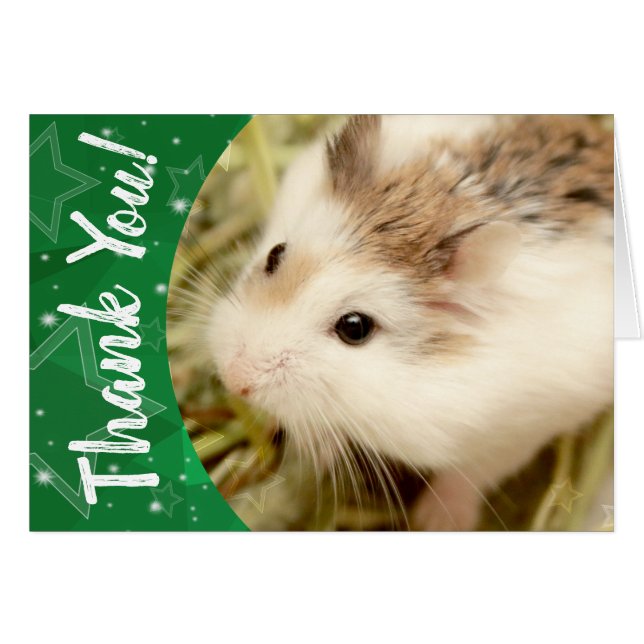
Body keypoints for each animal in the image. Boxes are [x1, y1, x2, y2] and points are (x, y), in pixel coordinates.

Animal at [208, 115, 614, 530]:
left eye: (355, 328)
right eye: (275, 255)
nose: (234, 379)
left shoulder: (518, 431)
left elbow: (470, 475)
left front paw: (433, 521)